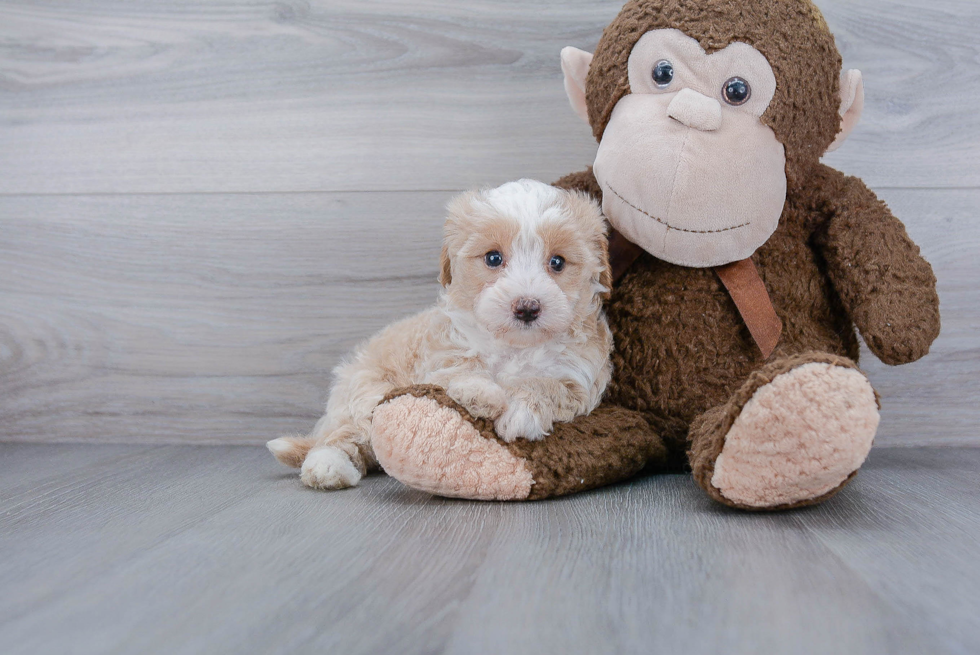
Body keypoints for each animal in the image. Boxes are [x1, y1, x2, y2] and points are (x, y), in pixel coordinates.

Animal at [268, 177, 612, 490]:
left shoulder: (579, 378)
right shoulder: (442, 350)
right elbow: (460, 368)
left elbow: (548, 385)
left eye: (558, 262)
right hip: (365, 394)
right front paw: (481, 394)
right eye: (493, 258)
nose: (527, 307)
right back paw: (327, 467)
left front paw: (520, 411)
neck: (516, 346)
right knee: (343, 436)